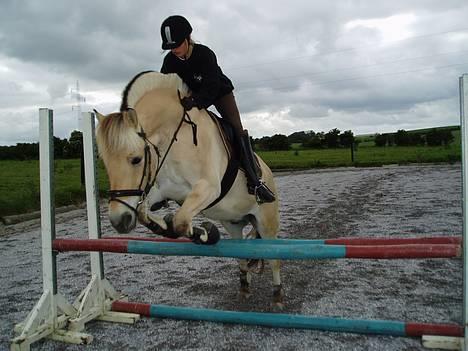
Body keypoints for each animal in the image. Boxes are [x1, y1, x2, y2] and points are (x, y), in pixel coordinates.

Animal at [93, 71, 284, 306]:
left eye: (136, 159)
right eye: (105, 163)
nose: (119, 221)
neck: (174, 136)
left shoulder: (209, 188)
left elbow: (181, 221)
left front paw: (205, 233)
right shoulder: (163, 189)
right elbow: (147, 213)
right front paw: (171, 226)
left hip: (266, 222)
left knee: (274, 257)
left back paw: (277, 295)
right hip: (233, 223)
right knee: (241, 253)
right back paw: (244, 288)